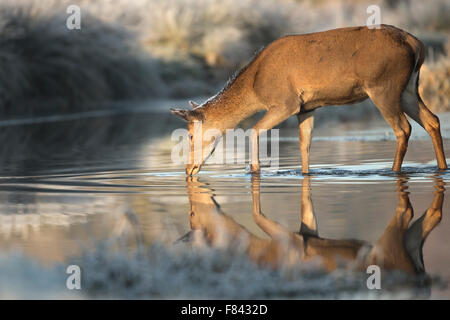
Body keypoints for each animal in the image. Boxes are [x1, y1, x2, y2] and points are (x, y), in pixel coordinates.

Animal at [171, 25, 446, 175]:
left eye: (191, 135)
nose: (188, 169)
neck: (255, 88)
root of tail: (418, 44)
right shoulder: (307, 108)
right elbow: (305, 146)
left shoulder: (285, 103)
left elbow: (254, 130)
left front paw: (254, 171)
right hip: (408, 89)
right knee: (432, 120)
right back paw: (441, 167)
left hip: (383, 87)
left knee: (403, 128)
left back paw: (393, 171)